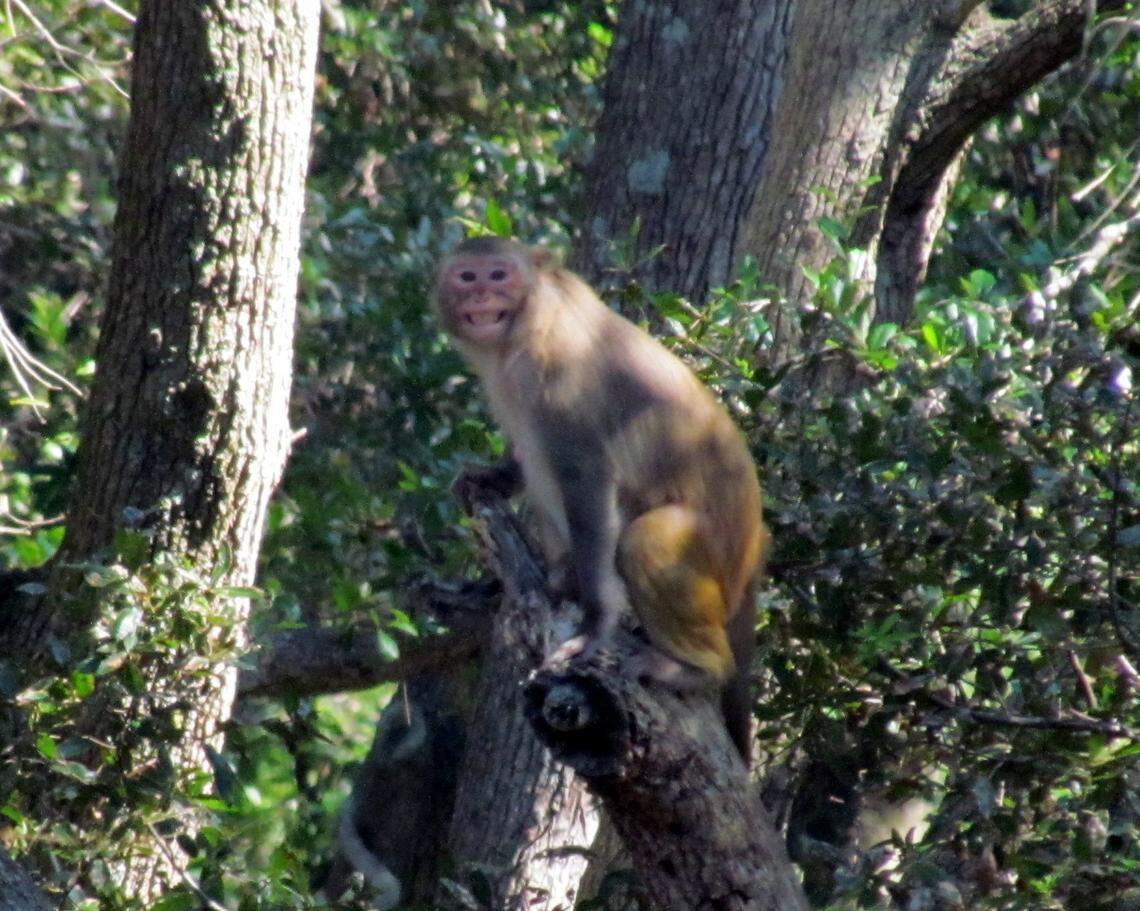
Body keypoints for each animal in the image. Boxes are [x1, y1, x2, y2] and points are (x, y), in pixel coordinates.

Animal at [435, 236, 769, 762]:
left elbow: (587, 477)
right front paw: (491, 477)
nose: (482, 296)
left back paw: (695, 668)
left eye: (498, 275)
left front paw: (594, 626)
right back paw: (560, 581)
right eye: (468, 277)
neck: (529, 320)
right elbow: (524, 455)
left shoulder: (559, 378)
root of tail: (757, 546)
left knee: (647, 539)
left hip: (717, 558)